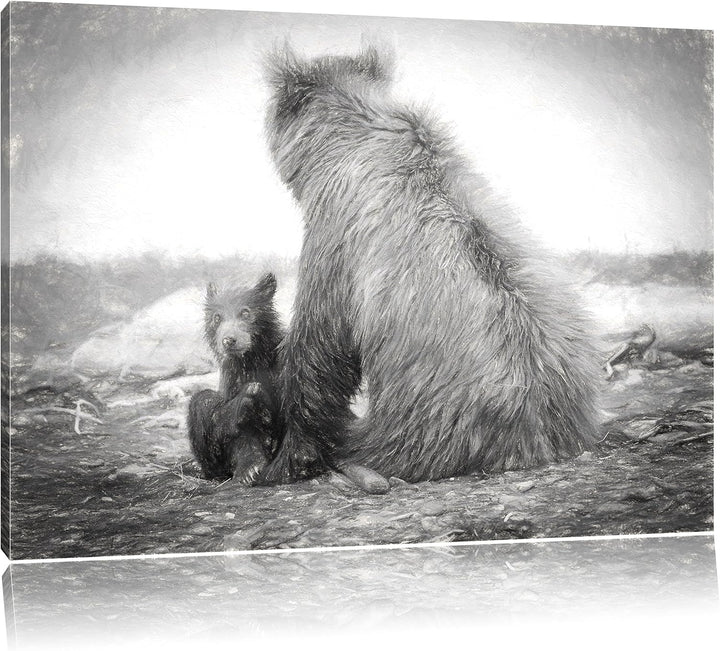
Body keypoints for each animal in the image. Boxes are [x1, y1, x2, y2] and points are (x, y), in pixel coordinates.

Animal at [188, 272, 283, 483]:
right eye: (217, 317)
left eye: (245, 312)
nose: (229, 340)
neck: (251, 360)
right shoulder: (232, 379)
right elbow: (237, 428)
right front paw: (250, 468)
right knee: (202, 400)